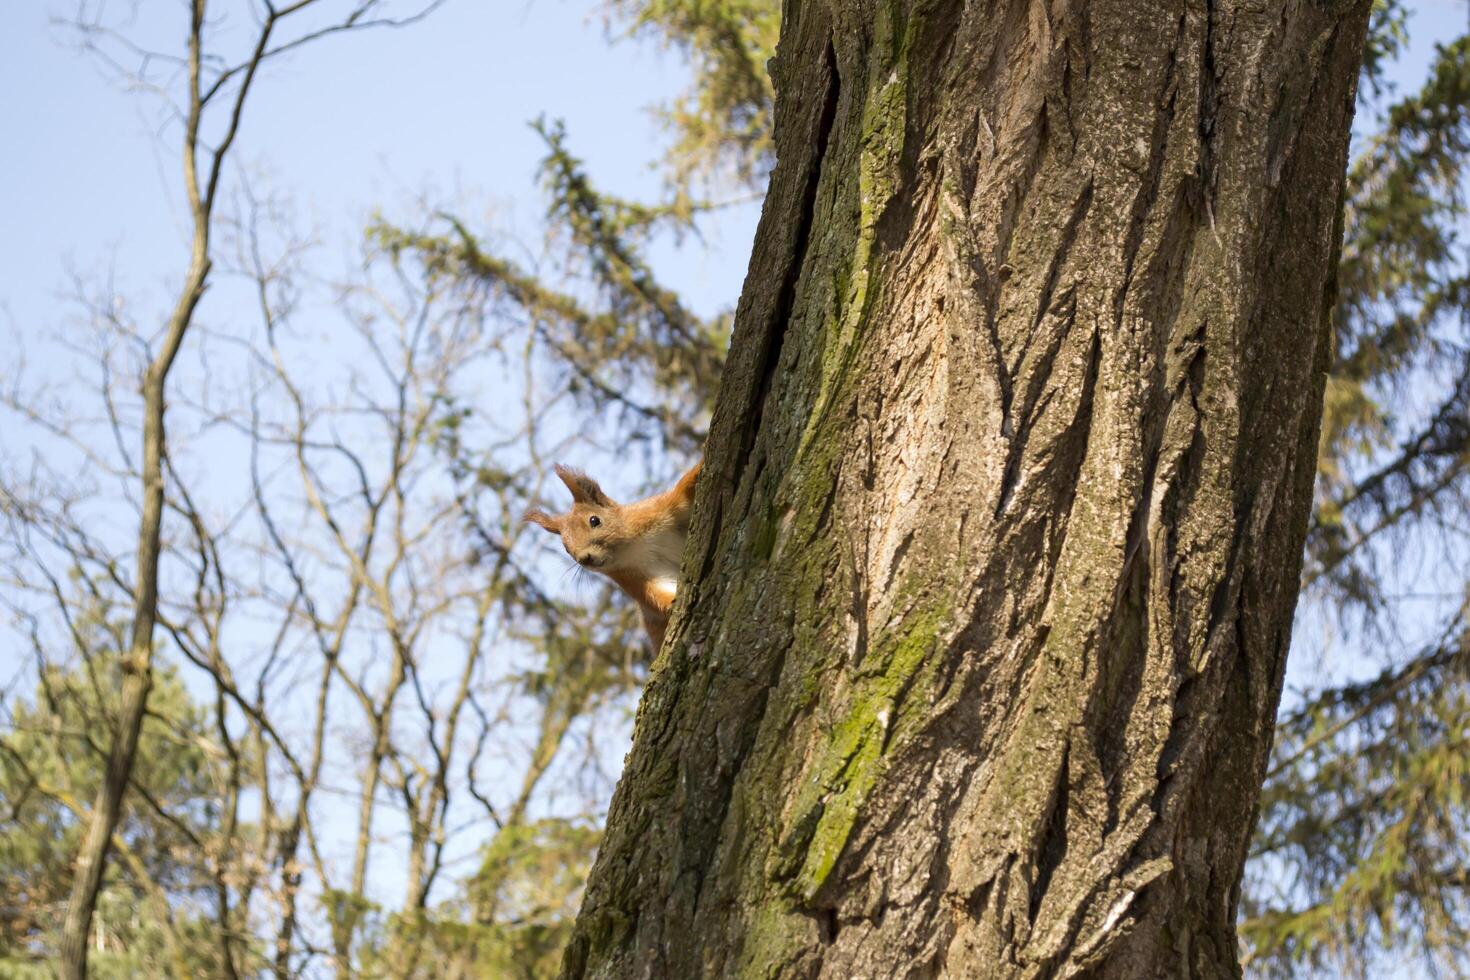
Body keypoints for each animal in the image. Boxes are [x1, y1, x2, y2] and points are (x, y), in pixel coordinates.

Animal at [526, 461, 702, 652]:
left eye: (594, 520)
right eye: (566, 548)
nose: (584, 558)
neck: (630, 548)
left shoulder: (659, 509)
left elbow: (685, 489)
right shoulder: (632, 577)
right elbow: (655, 592)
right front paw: (672, 601)